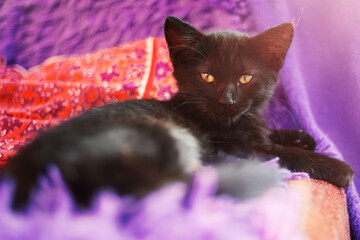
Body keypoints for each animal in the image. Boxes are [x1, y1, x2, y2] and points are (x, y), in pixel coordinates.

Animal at [1, 16, 352, 210]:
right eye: (207, 76)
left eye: (245, 78)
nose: (226, 99)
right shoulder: (229, 147)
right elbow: (276, 151)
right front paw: (335, 167)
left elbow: (268, 134)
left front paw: (301, 136)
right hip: (164, 136)